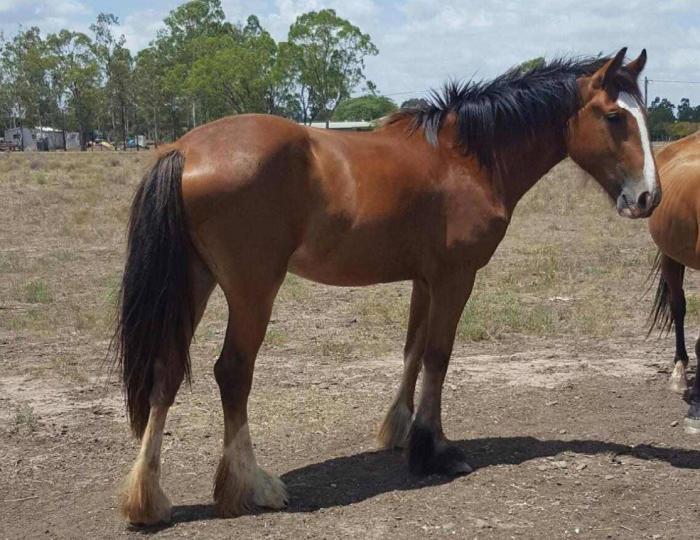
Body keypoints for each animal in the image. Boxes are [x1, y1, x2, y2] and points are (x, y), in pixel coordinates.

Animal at [113, 47, 658, 526]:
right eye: (614, 116)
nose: (648, 198)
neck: (465, 158)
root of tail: (184, 149)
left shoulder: (424, 278)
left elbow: (412, 351)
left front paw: (399, 430)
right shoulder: (456, 276)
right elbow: (438, 355)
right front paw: (434, 449)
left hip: (193, 283)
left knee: (166, 371)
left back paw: (148, 499)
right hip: (252, 291)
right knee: (233, 372)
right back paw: (252, 485)